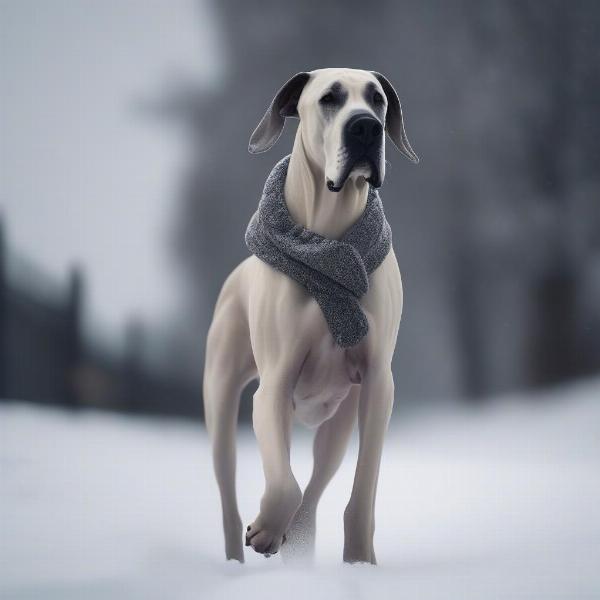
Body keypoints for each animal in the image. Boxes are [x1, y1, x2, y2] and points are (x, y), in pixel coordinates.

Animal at [203, 69, 418, 564]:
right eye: (329, 98)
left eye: (377, 99)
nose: (366, 128)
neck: (326, 238)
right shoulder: (274, 385)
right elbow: (284, 484)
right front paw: (265, 528)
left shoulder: (378, 384)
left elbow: (362, 487)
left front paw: (359, 561)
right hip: (221, 400)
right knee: (230, 494)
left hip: (338, 421)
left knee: (316, 489)